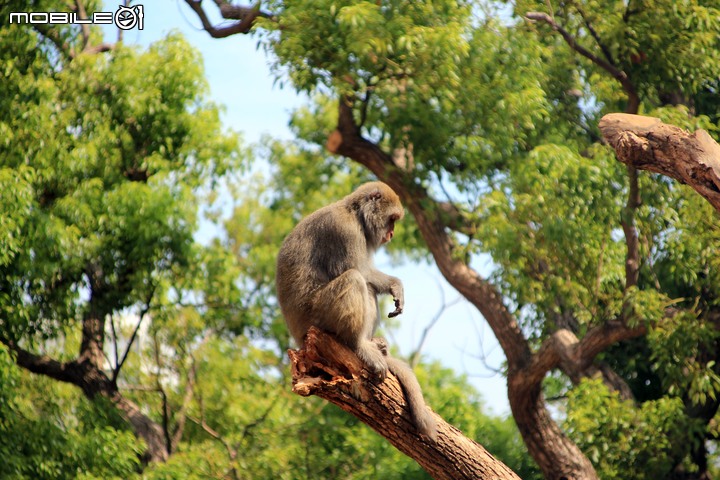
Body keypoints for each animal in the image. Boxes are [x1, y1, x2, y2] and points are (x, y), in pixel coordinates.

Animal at [276, 181, 438, 442]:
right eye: (392, 219)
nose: (391, 234)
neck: (355, 215)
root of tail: (297, 336)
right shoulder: (344, 232)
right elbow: (359, 269)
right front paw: (395, 284)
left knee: (366, 287)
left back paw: (373, 344)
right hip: (318, 316)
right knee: (354, 279)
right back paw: (358, 345)